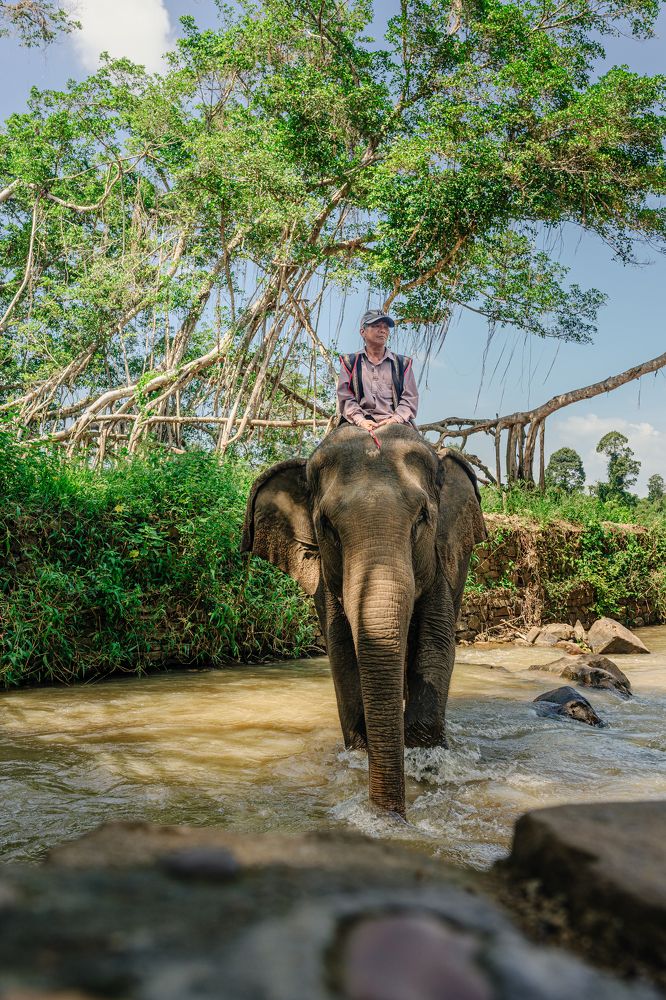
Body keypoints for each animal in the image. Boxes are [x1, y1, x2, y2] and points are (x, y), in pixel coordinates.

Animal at [241, 423, 486, 817]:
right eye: (326, 525)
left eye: (422, 518)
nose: (394, 816)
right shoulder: (326, 582)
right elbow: (342, 655)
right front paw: (361, 753)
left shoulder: (441, 566)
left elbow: (436, 647)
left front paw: (425, 762)